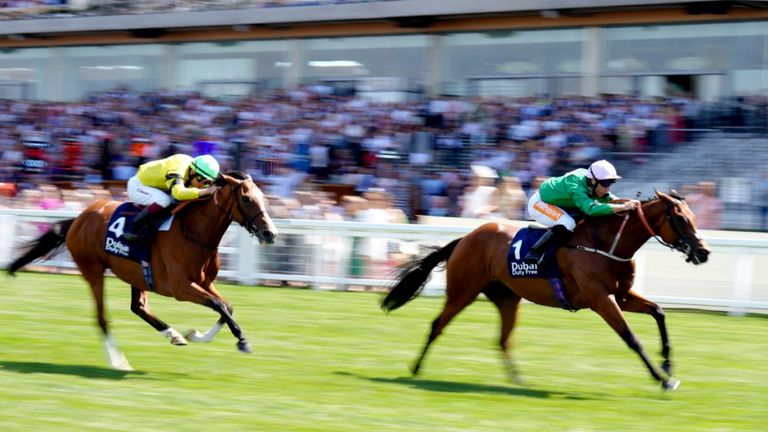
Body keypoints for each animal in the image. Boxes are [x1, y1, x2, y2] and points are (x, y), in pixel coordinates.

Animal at [6, 172, 278, 372]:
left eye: (263, 197)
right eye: (246, 199)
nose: (270, 233)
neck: (194, 232)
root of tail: (78, 218)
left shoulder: (204, 282)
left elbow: (226, 307)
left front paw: (195, 335)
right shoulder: (180, 287)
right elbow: (219, 305)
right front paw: (242, 342)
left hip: (136, 274)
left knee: (138, 307)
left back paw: (173, 335)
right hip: (92, 270)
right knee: (102, 319)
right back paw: (118, 361)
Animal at [380, 191, 712, 390]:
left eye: (695, 217)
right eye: (679, 218)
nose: (704, 252)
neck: (606, 244)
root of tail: (466, 237)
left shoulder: (622, 296)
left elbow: (659, 311)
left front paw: (668, 364)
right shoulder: (600, 299)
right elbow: (631, 338)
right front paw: (663, 380)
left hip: (508, 299)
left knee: (503, 340)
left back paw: (518, 381)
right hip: (462, 292)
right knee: (437, 325)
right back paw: (415, 368)